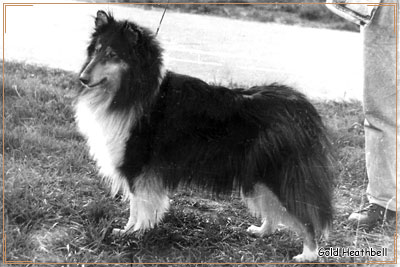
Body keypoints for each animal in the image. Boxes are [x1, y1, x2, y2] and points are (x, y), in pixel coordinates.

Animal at [75, 11, 334, 264]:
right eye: (96, 50)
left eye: (112, 54)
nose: (82, 78)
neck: (136, 91)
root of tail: (301, 106)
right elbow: (136, 205)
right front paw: (131, 231)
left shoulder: (137, 165)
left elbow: (137, 206)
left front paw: (132, 233)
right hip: (258, 173)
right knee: (273, 210)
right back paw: (262, 231)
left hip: (280, 173)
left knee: (305, 216)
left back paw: (308, 254)